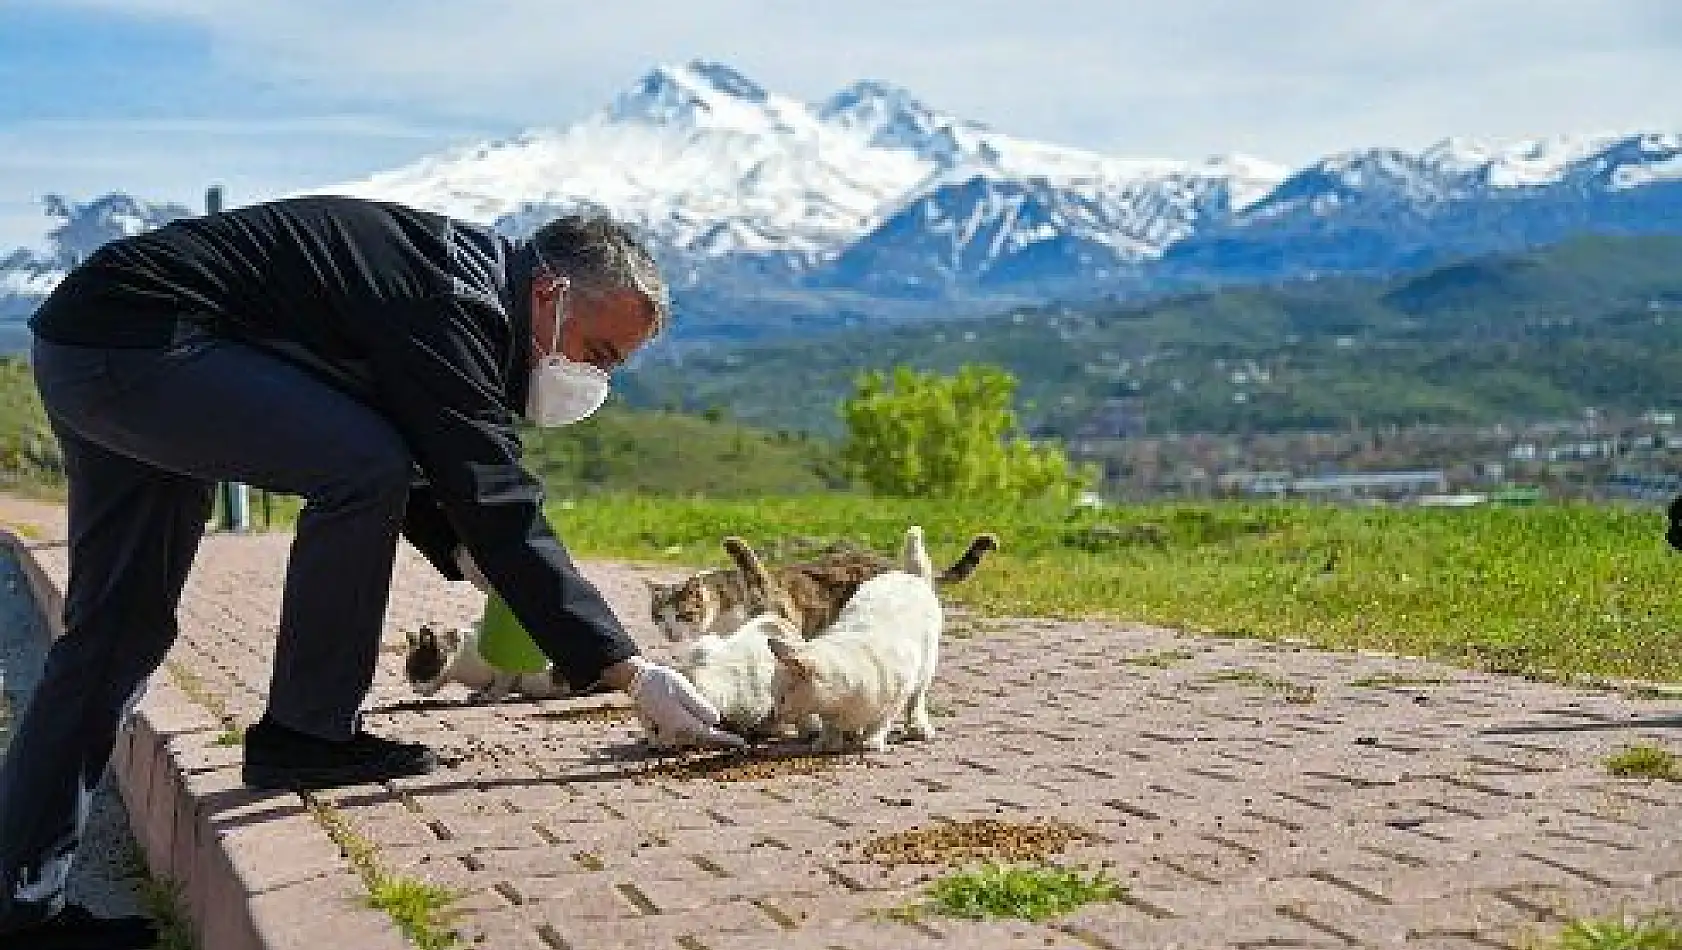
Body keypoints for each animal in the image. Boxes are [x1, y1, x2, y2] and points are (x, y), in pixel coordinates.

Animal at [398, 625, 578, 699]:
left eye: (418, 671)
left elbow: (500, 684)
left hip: (539, 678)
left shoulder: (506, 668)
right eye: (408, 675)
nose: (413, 687)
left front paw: (490, 695)